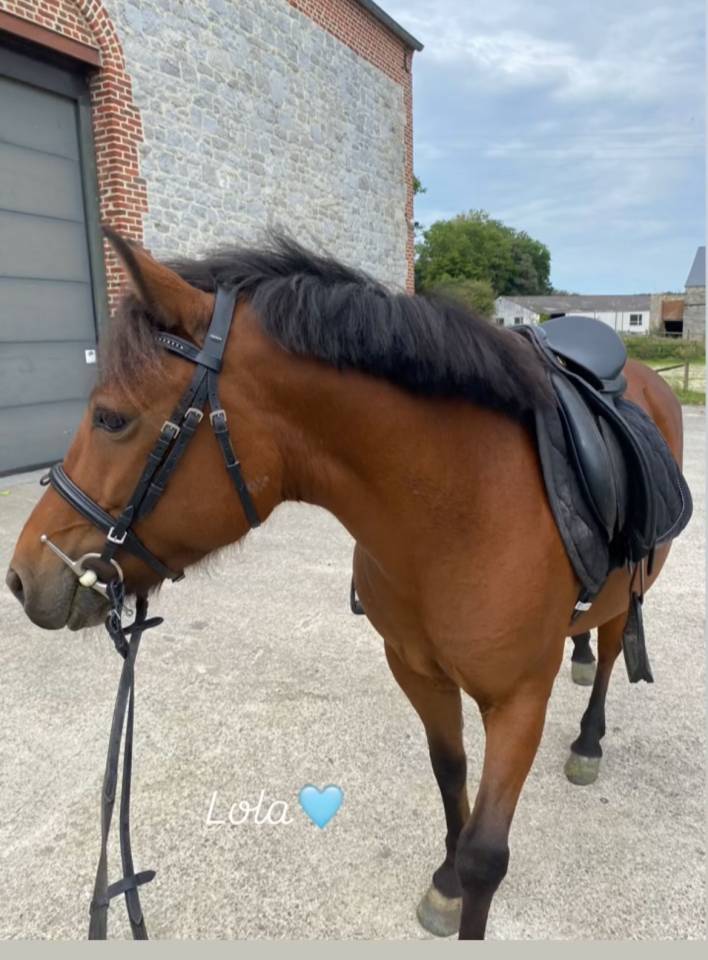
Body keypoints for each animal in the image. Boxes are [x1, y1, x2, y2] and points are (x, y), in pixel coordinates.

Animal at [5, 232, 686, 940]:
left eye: (110, 419)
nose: (23, 576)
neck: (462, 506)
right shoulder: (416, 670)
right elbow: (449, 775)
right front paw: (444, 883)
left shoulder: (519, 700)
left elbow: (485, 856)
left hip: (631, 594)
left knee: (611, 653)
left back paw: (588, 739)